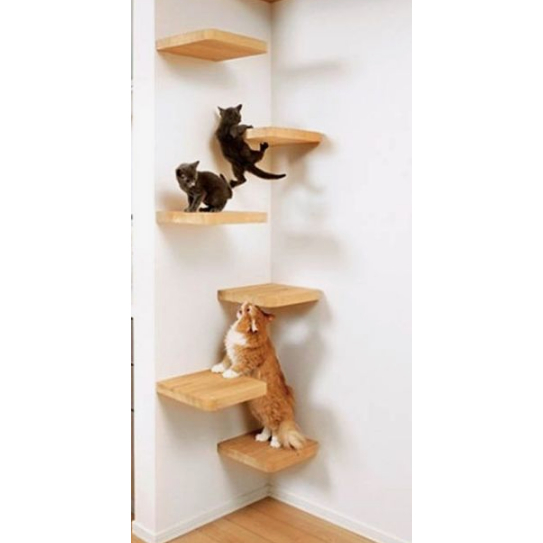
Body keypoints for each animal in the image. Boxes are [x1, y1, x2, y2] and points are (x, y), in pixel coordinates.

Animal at [212, 302, 306, 450]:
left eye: (248, 309)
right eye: (251, 306)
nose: (245, 302)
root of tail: (288, 411)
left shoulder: (245, 360)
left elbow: (235, 368)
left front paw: (227, 374)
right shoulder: (231, 354)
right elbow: (225, 361)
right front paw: (217, 368)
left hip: (271, 412)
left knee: (275, 428)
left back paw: (275, 443)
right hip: (258, 411)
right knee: (267, 426)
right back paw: (262, 437)